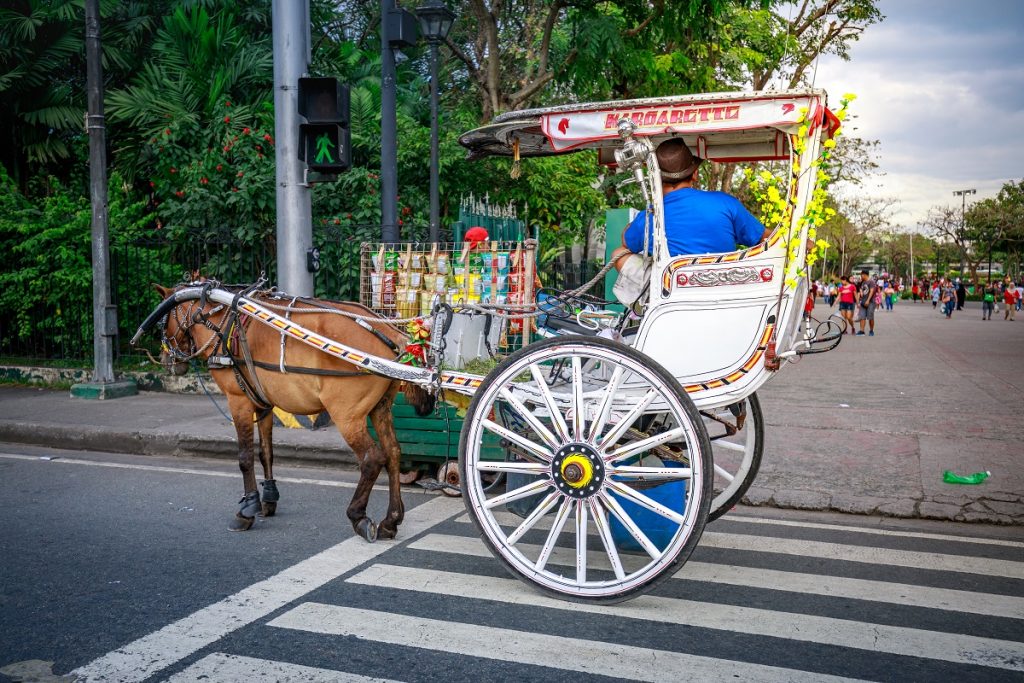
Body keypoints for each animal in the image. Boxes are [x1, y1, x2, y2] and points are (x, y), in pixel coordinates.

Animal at [149, 282, 434, 540]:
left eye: (163, 321)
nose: (165, 360)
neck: (224, 320)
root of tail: (385, 330)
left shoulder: (238, 401)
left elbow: (244, 457)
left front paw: (247, 509)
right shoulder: (262, 403)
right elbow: (266, 453)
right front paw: (268, 499)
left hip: (347, 415)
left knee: (372, 458)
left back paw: (358, 516)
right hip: (380, 407)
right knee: (393, 453)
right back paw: (391, 520)